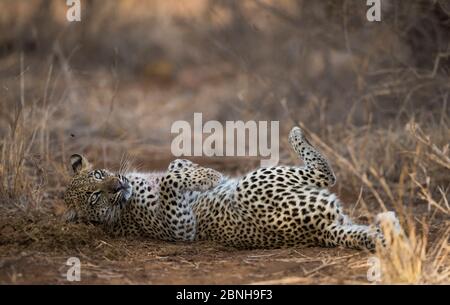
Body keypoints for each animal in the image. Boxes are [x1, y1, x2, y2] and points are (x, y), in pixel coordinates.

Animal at [62, 125, 398, 249]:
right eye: (95, 198)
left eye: (99, 174)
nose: (118, 184)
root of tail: (321, 231)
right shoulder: (180, 228)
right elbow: (171, 184)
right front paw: (211, 178)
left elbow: (174, 167)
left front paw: (201, 173)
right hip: (259, 181)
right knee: (324, 174)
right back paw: (295, 134)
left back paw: (388, 222)